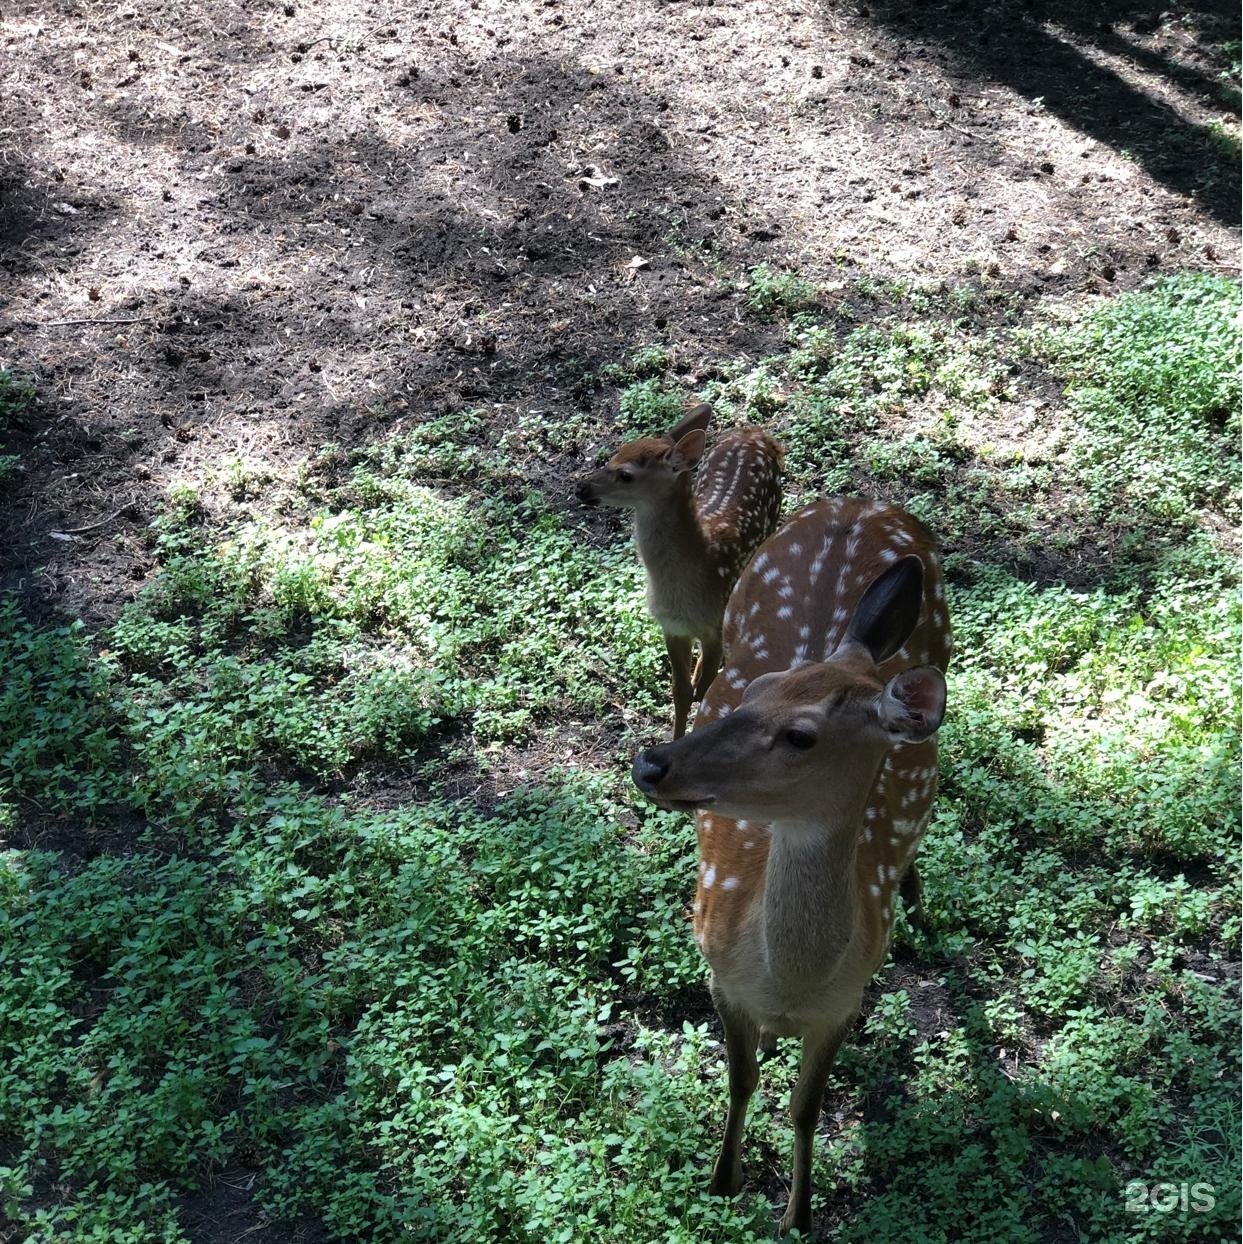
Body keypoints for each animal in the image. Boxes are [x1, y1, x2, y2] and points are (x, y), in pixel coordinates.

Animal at [577, 405, 781, 736]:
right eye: (613, 455)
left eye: (626, 475)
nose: (581, 488)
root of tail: (754, 432)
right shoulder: (671, 627)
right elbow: (681, 692)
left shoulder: (715, 624)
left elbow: (705, 692)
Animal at [632, 495, 950, 1234]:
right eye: (760, 688)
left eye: (801, 736)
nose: (650, 762)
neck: (791, 983)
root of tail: (862, 502)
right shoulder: (718, 973)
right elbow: (741, 1078)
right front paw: (723, 1179)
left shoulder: (846, 1001)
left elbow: (807, 1108)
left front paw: (796, 1217)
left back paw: (917, 896)